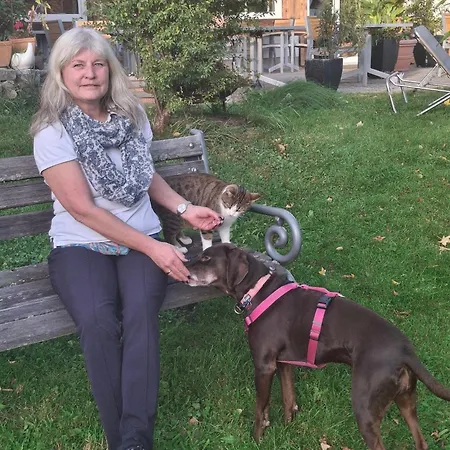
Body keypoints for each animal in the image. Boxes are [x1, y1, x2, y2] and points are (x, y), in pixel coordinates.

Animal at [187, 243, 450, 450]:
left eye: (206, 258)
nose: (185, 269)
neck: (257, 289)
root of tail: (405, 350)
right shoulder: (284, 363)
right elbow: (288, 399)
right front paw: (288, 429)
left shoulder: (264, 366)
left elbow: (260, 410)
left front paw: (256, 440)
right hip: (406, 400)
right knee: (420, 441)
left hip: (365, 407)